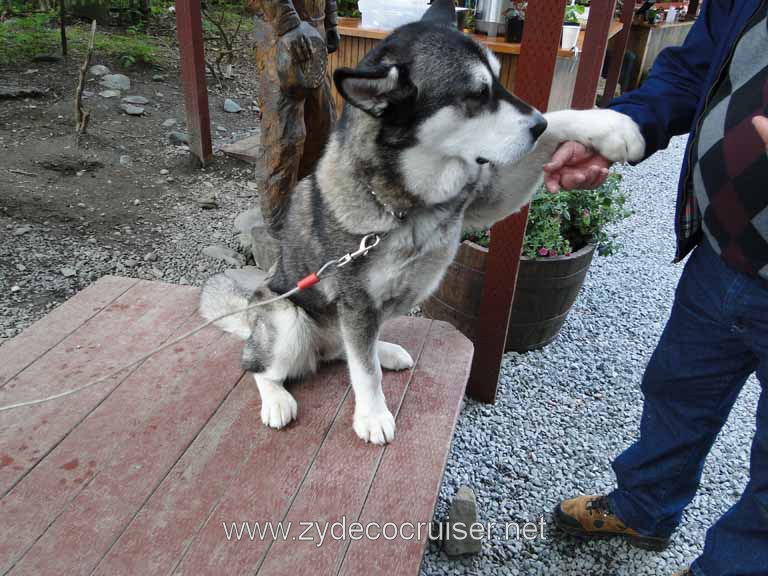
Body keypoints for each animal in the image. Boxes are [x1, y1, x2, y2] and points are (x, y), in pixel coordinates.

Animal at [201, 0, 644, 446]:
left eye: (498, 83)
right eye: (477, 95)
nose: (537, 126)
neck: (411, 199)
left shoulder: (489, 194)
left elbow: (563, 116)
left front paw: (613, 127)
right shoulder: (356, 303)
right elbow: (365, 374)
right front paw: (372, 415)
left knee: (348, 349)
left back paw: (383, 349)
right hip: (289, 322)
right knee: (261, 366)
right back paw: (276, 398)